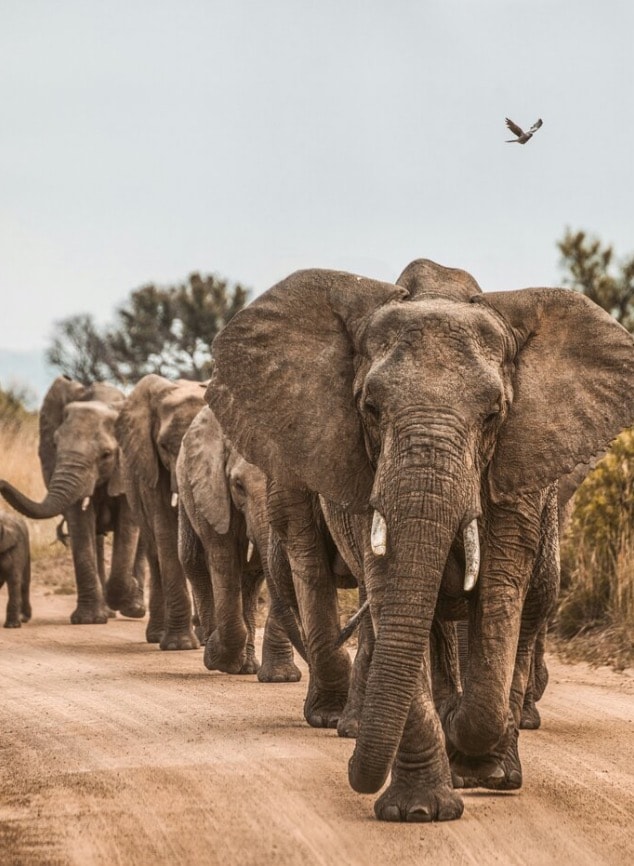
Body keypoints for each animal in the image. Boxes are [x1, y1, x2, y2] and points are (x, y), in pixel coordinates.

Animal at [0, 376, 145, 624]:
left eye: (106, 454)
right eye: (55, 445)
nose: (1, 481)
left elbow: (128, 525)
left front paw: (127, 593)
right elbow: (80, 522)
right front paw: (89, 620)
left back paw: (134, 609)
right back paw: (108, 611)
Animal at [115, 374, 204, 650]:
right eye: (164, 446)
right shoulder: (149, 465)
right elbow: (166, 531)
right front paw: (180, 645)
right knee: (155, 555)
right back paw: (158, 635)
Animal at [176, 405, 303, 680]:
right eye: (238, 485)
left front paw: (281, 678)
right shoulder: (212, 490)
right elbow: (223, 559)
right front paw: (216, 657)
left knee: (252, 578)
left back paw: (247, 667)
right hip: (186, 489)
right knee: (193, 561)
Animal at [206, 261, 634, 822]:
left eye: (494, 415)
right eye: (370, 409)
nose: (352, 772)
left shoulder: (517, 470)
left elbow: (499, 597)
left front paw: (480, 766)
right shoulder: (364, 476)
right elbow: (393, 594)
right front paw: (420, 811)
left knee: (524, 609)